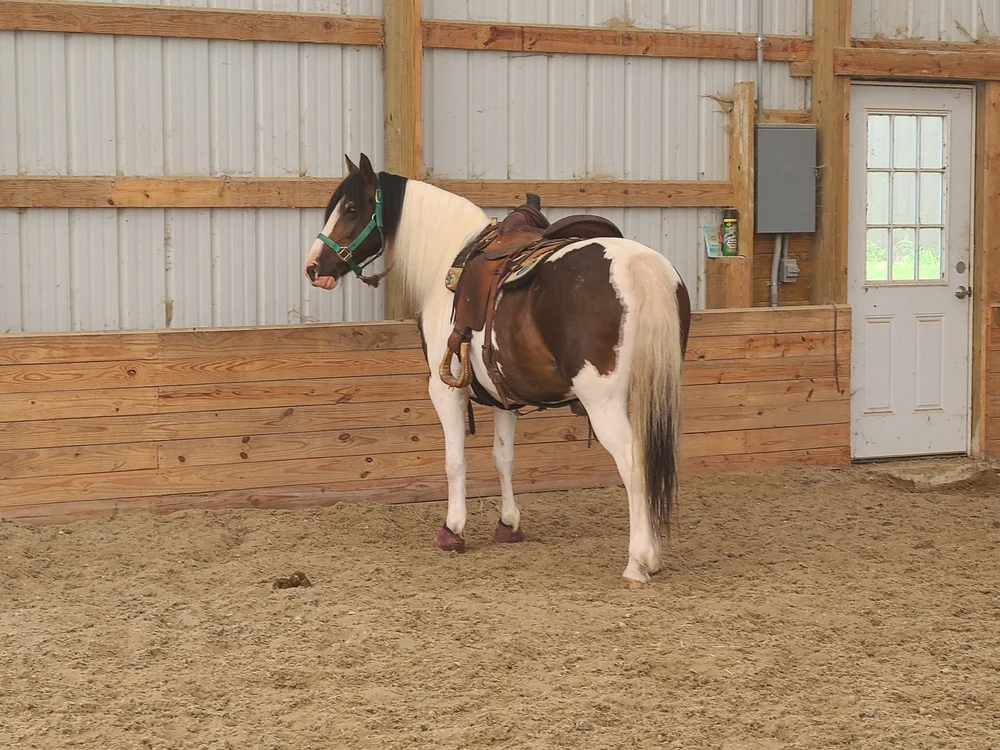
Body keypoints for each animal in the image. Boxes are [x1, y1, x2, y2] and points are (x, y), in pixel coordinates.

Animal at [303, 153, 691, 587]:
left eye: (352, 209)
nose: (313, 267)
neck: (448, 262)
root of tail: (640, 264)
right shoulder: (504, 396)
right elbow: (503, 458)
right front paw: (508, 525)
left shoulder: (445, 390)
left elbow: (455, 460)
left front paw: (453, 529)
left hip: (603, 403)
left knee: (634, 462)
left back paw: (639, 561)